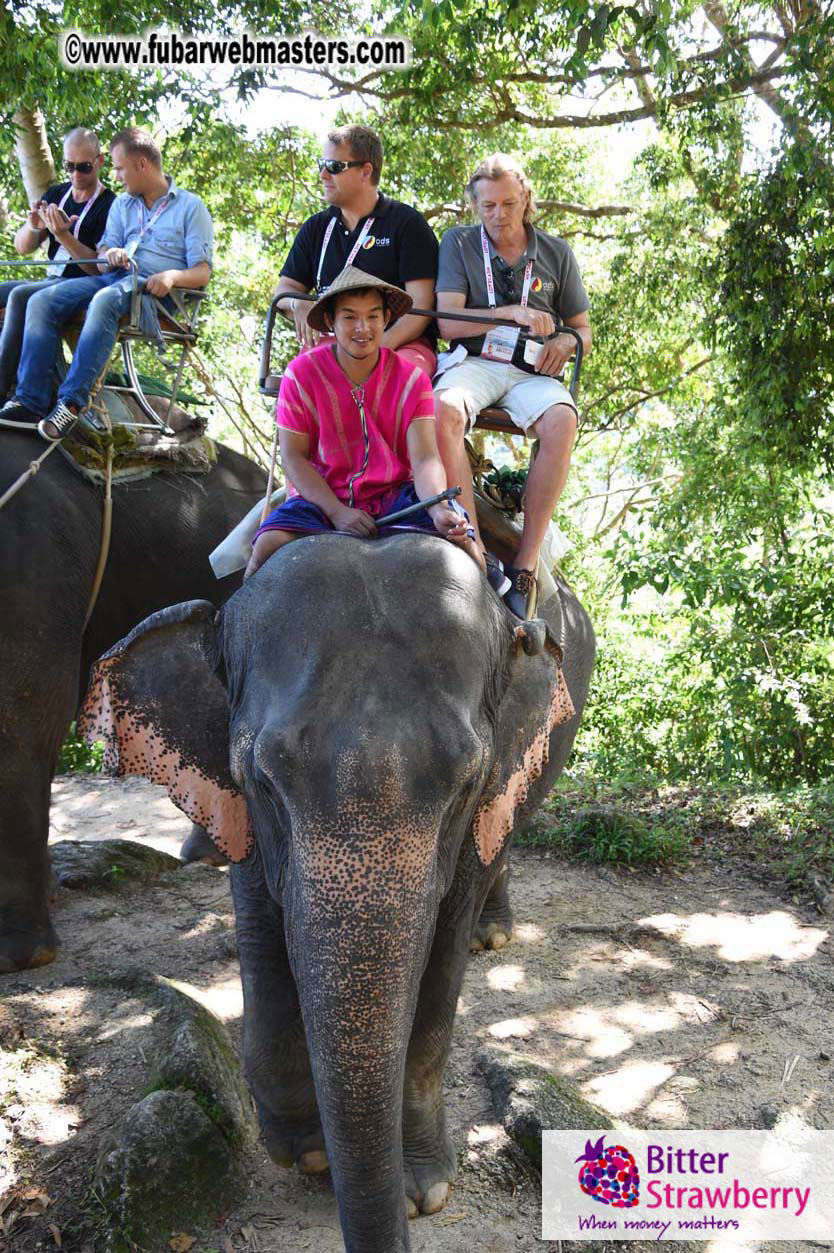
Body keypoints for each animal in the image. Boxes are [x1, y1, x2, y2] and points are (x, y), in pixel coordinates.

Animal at [78, 531, 595, 1253]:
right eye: (263, 779)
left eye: (465, 783)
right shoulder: (241, 811)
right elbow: (262, 936)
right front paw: (308, 1150)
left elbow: (441, 971)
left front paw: (422, 1189)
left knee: (506, 834)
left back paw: (492, 933)